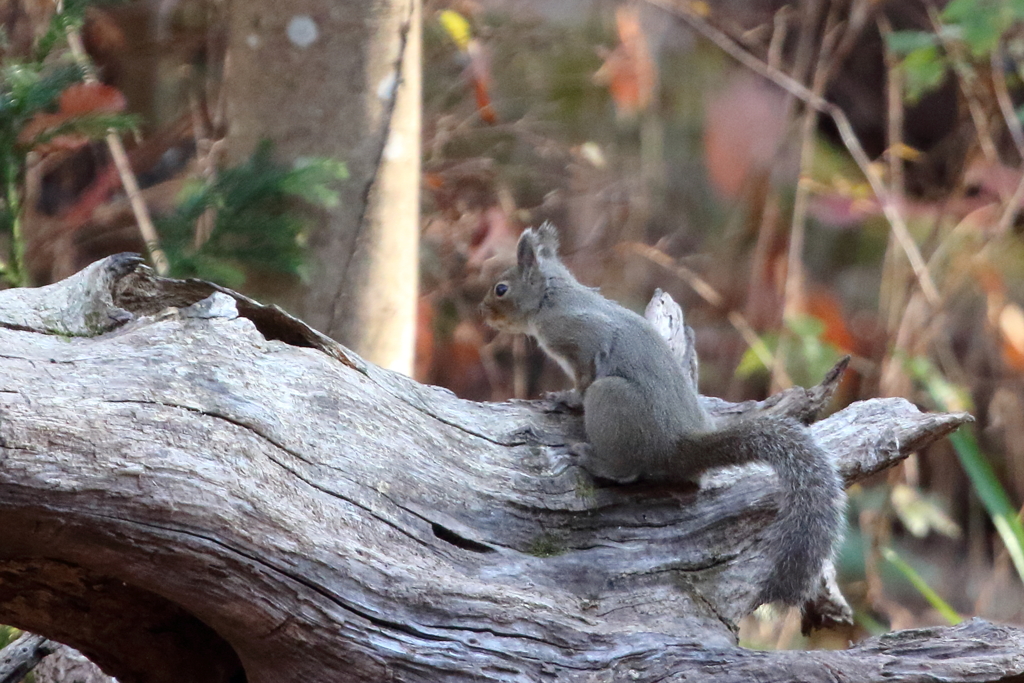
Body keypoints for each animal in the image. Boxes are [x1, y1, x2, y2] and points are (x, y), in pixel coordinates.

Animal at [483, 225, 843, 610]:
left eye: (501, 289)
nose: (483, 311)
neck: (554, 298)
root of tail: (679, 446)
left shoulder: (580, 340)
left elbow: (583, 380)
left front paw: (564, 399)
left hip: (610, 398)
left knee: (625, 470)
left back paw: (590, 458)